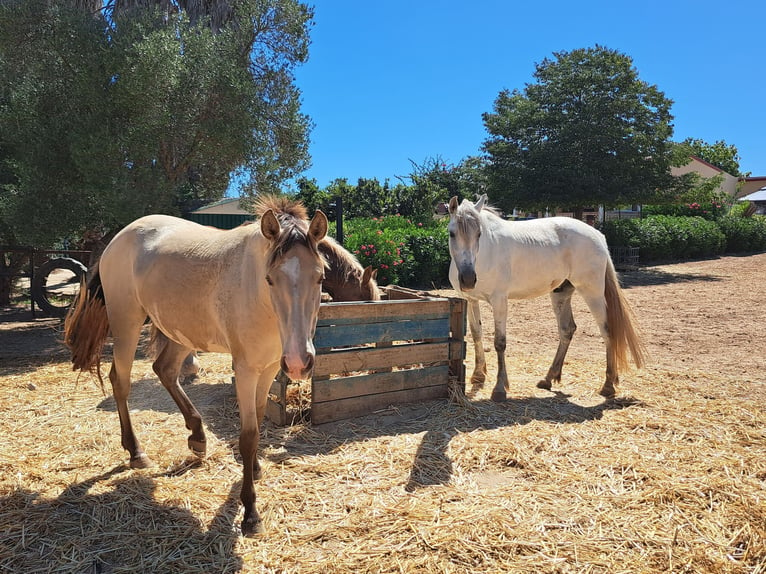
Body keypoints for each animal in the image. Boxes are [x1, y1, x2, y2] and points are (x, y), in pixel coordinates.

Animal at [65, 197, 328, 536]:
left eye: (320, 277)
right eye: (270, 279)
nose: (298, 362)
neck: (260, 298)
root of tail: (116, 239)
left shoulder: (269, 367)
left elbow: (257, 422)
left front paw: (255, 469)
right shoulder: (245, 369)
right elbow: (248, 436)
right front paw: (250, 512)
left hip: (180, 332)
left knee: (165, 370)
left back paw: (197, 437)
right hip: (127, 324)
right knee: (120, 381)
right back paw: (136, 452)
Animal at [450, 196, 648, 402]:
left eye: (479, 234)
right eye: (451, 233)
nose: (468, 278)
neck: (484, 255)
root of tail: (597, 235)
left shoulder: (499, 301)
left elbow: (500, 342)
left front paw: (499, 388)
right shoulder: (471, 299)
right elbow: (476, 334)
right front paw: (478, 376)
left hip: (592, 292)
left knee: (607, 330)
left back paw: (608, 385)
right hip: (561, 293)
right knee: (567, 330)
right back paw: (548, 378)